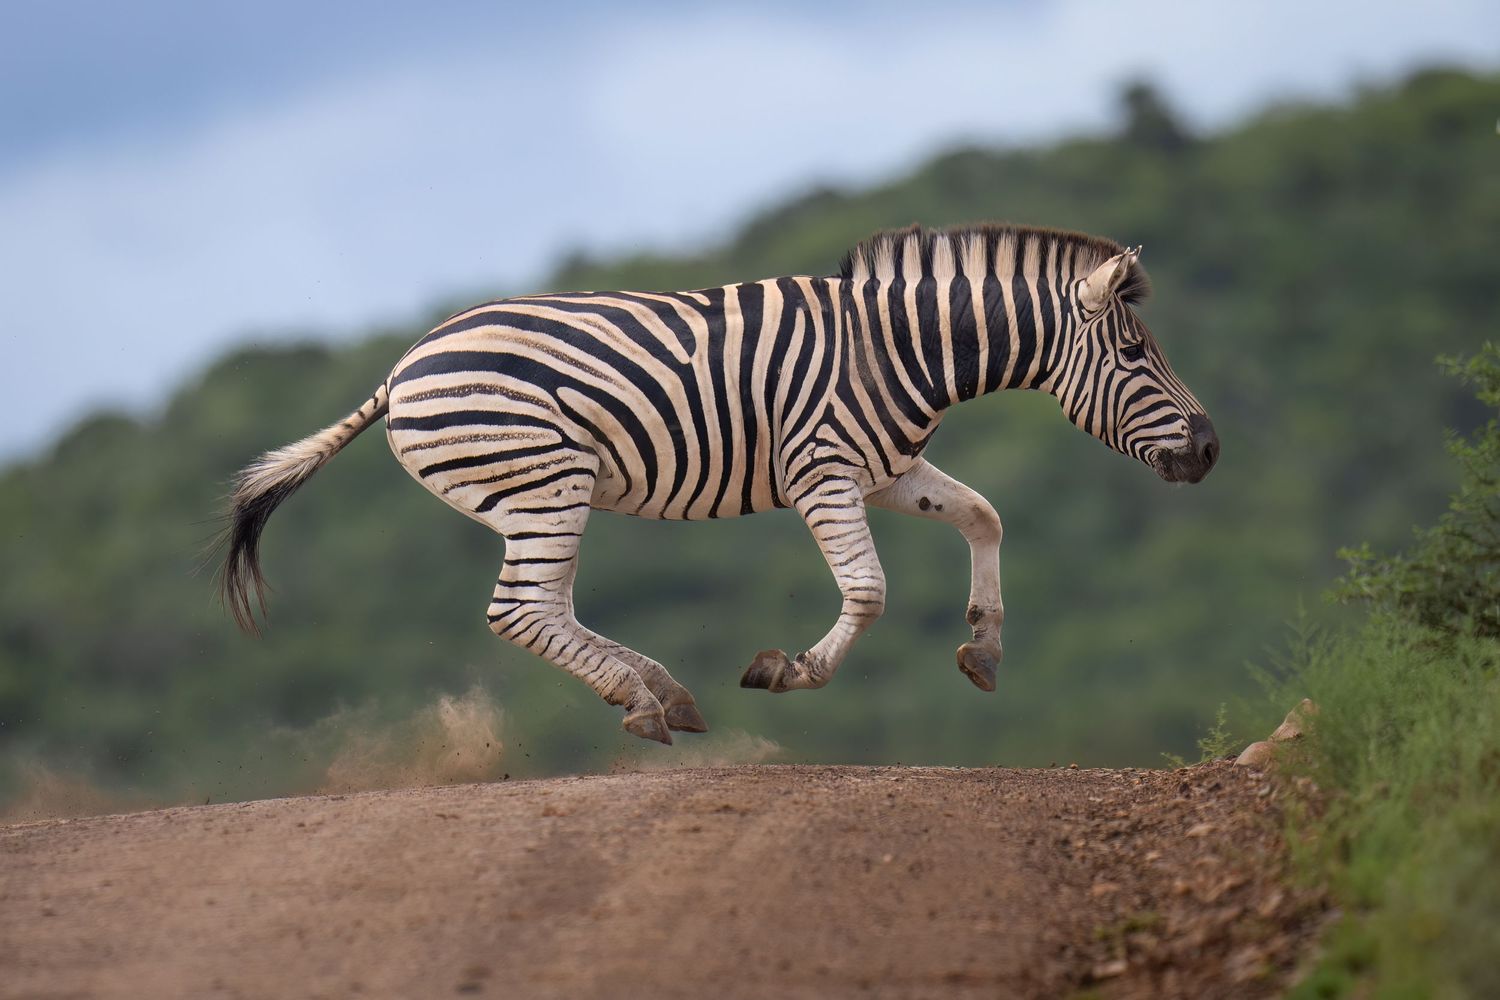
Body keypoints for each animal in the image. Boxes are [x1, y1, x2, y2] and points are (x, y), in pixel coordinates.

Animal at [222, 223, 1218, 745]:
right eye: (1137, 355)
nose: (1209, 452)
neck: (898, 351)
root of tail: (402, 370)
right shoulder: (823, 470)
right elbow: (869, 589)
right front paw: (792, 670)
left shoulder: (887, 469)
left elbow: (985, 515)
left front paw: (983, 647)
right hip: (545, 481)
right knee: (522, 609)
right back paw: (641, 700)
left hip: (542, 494)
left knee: (547, 608)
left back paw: (656, 689)